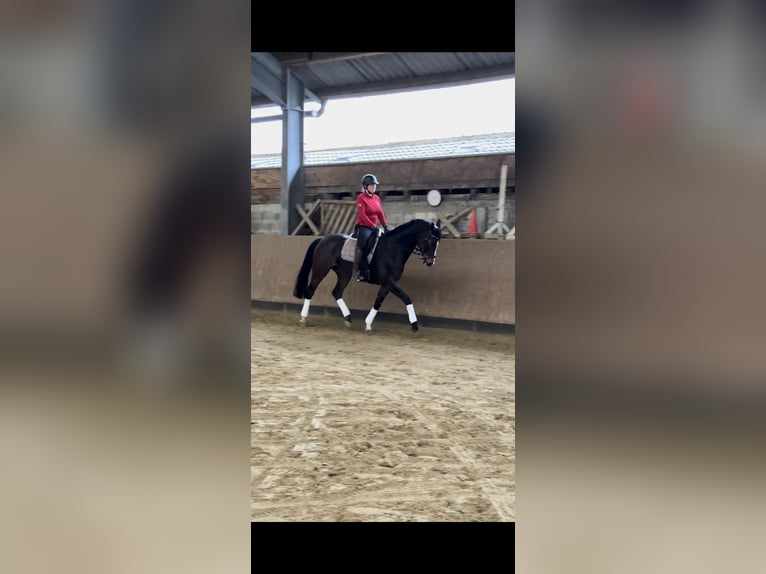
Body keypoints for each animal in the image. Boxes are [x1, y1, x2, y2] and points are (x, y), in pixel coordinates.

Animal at [292, 219, 441, 332]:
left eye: (438, 240)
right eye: (431, 239)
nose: (430, 261)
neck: (393, 248)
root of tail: (323, 239)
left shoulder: (388, 283)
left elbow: (378, 301)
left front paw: (368, 324)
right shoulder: (389, 281)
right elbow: (406, 298)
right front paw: (414, 325)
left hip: (344, 274)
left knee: (336, 292)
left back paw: (348, 318)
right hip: (320, 270)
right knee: (310, 290)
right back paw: (303, 318)